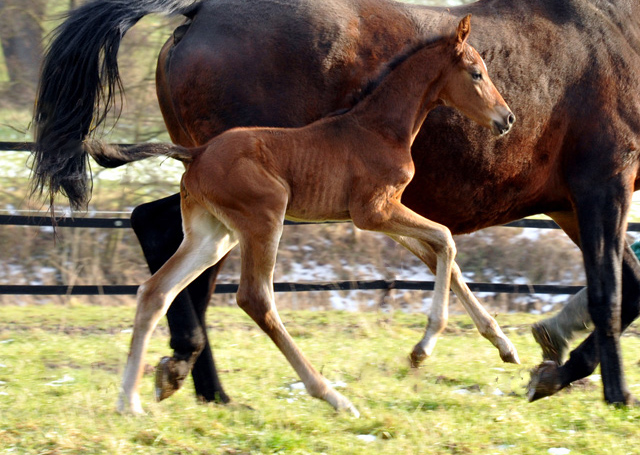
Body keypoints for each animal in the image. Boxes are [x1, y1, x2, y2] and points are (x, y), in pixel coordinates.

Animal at [115, 16, 512, 416]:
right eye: (476, 73)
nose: (507, 119)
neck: (380, 129)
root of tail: (197, 153)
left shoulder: (383, 212)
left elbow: (440, 255)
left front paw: (503, 345)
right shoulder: (373, 211)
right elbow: (445, 238)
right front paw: (423, 349)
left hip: (212, 235)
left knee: (155, 291)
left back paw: (129, 401)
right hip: (264, 218)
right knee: (255, 299)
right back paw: (333, 396)